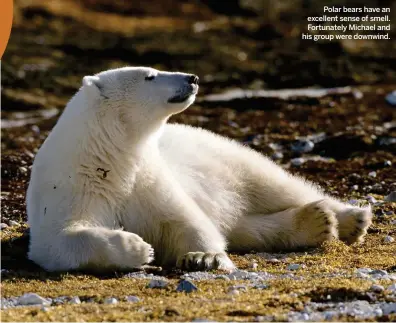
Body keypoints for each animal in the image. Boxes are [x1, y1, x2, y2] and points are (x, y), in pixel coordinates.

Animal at [26, 67, 372, 272]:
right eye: (149, 75)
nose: (192, 78)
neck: (109, 158)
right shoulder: (73, 187)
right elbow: (59, 240)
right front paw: (138, 248)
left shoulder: (148, 178)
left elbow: (186, 219)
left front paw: (202, 257)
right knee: (247, 226)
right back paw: (316, 222)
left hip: (226, 156)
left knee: (273, 184)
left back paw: (351, 218)